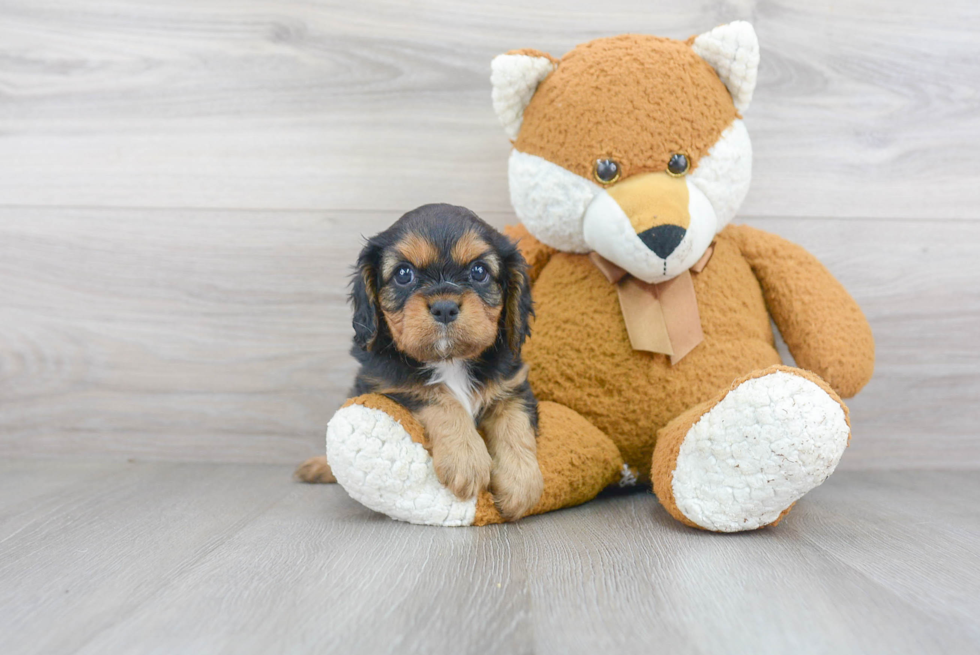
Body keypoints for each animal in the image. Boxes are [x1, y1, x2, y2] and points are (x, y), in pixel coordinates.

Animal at [298, 205, 544, 524]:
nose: (444, 308)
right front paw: (466, 459)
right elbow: (439, 395)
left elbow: (515, 425)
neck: (450, 361)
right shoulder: (390, 383)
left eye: (479, 271)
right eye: (404, 274)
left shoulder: (511, 385)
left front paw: (521, 484)